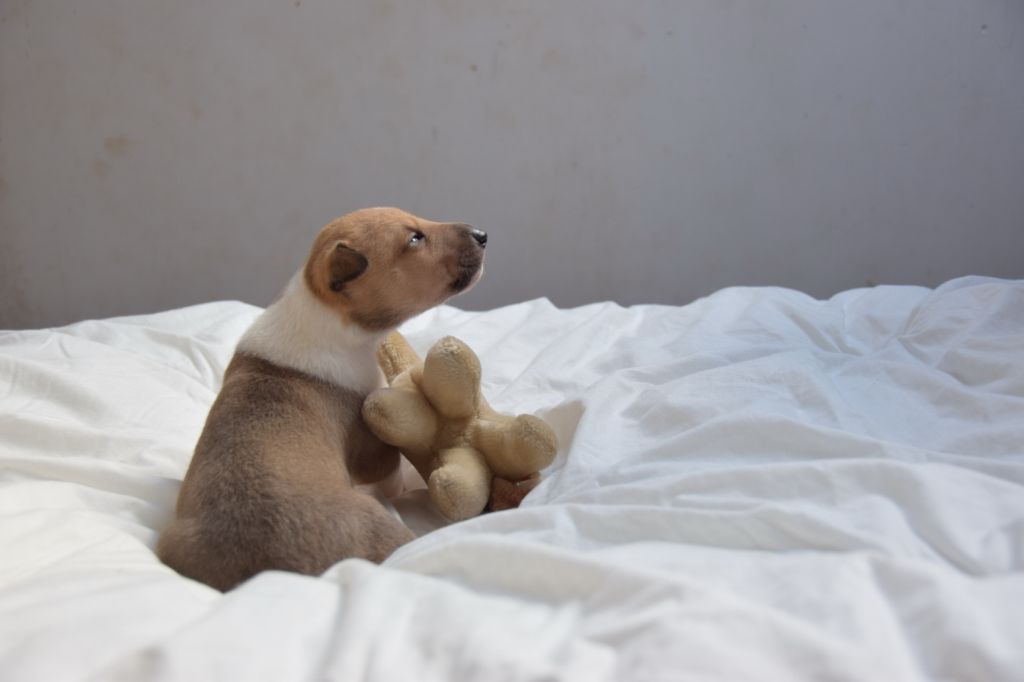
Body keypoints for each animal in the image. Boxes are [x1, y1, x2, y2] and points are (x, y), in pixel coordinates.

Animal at [157, 207, 487, 591]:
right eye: (415, 239)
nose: (483, 235)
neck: (321, 315)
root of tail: (272, 576)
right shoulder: (373, 448)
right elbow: (391, 473)